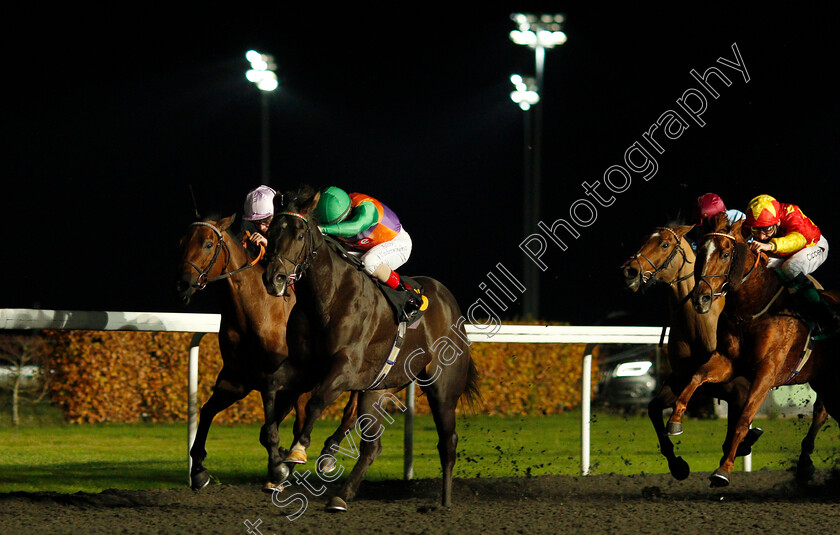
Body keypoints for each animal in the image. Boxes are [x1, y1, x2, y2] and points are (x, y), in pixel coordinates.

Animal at [176, 216, 360, 492]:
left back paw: (324, 455)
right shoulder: (236, 381)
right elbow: (207, 411)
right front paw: (198, 470)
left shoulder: (289, 383)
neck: (256, 313)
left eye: (208, 243)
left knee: (349, 413)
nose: (183, 284)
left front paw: (280, 467)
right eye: (181, 242)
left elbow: (274, 429)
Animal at [262, 186, 480, 512]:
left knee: (448, 442)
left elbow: (315, 402)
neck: (328, 298)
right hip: (377, 389)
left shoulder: (344, 368)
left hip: (442, 389)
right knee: (372, 447)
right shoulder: (304, 366)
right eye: (272, 231)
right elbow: (272, 387)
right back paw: (341, 495)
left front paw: (298, 451)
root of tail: (450, 304)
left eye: (300, 235)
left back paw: (444, 502)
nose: (273, 278)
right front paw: (277, 463)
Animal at [616, 226, 760, 482]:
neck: (699, 327)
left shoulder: (740, 389)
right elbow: (654, 409)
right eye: (644, 240)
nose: (629, 271)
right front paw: (678, 465)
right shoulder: (681, 380)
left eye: (664, 244)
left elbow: (736, 430)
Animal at [680, 213, 836, 486]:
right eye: (701, 252)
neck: (751, 309)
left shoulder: (767, 372)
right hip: (821, 377)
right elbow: (697, 376)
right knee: (821, 412)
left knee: (821, 412)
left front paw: (723, 468)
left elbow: (744, 418)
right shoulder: (728, 361)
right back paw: (804, 464)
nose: (701, 299)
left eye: (725, 254)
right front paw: (674, 421)